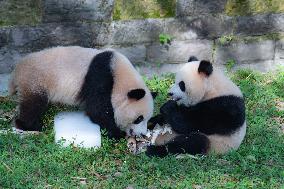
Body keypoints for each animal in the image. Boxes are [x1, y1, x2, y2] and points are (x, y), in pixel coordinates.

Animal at [8, 46, 154, 140]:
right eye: (139, 118)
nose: (142, 134)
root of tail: (17, 71)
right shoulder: (100, 76)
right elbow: (97, 109)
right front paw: (117, 133)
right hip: (36, 80)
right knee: (33, 105)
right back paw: (29, 125)